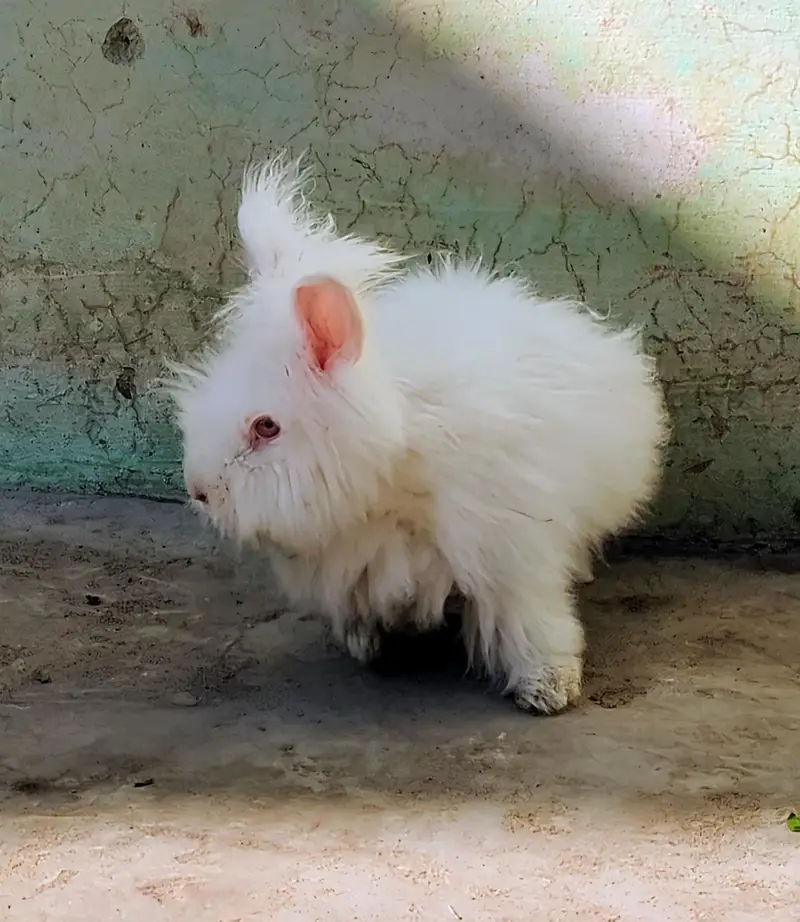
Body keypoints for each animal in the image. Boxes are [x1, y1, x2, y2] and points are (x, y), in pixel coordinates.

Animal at [169, 152, 668, 715]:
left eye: (266, 427)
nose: (199, 491)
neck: (393, 470)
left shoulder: (509, 548)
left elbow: (531, 621)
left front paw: (547, 690)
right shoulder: (356, 568)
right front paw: (368, 648)